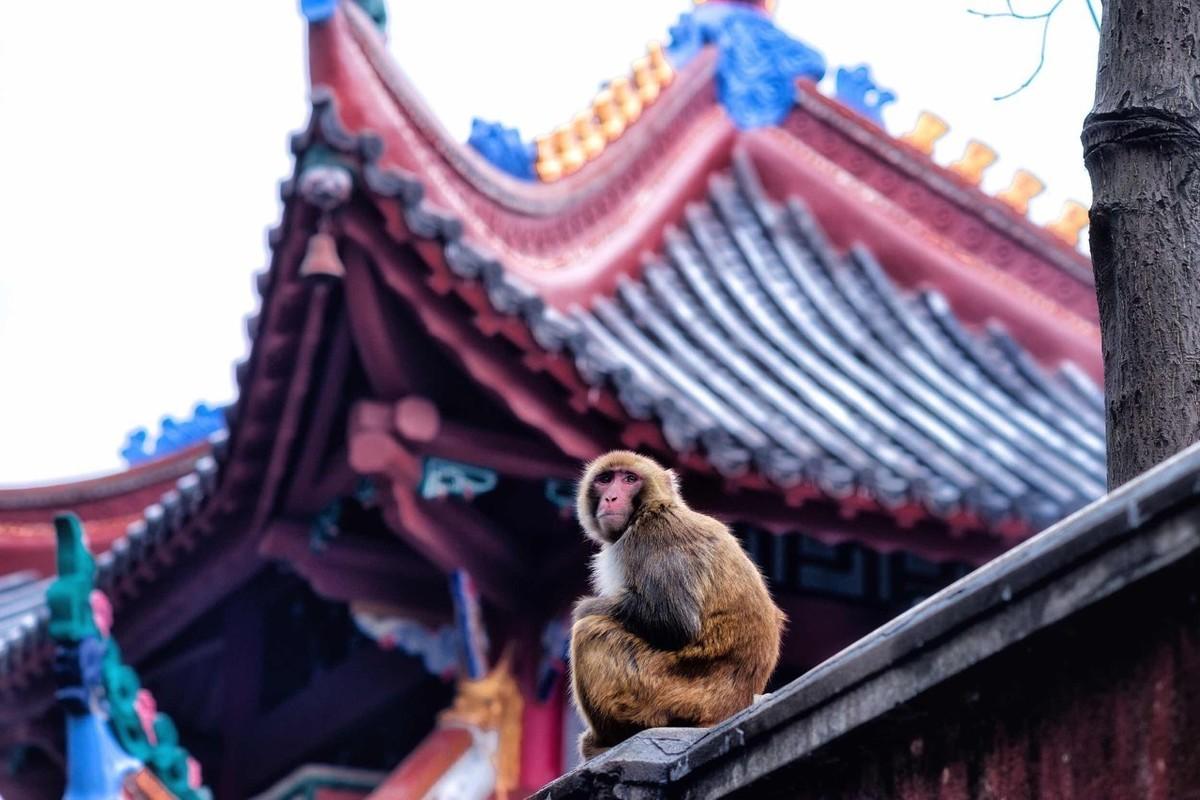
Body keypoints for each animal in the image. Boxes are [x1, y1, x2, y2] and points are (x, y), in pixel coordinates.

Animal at [568, 453, 787, 762]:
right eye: (606, 479)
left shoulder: (656, 534)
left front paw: (584, 608)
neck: (648, 510)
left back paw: (611, 738)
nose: (611, 497)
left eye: (630, 479)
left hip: (668, 695)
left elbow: (674, 622)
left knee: (590, 631)